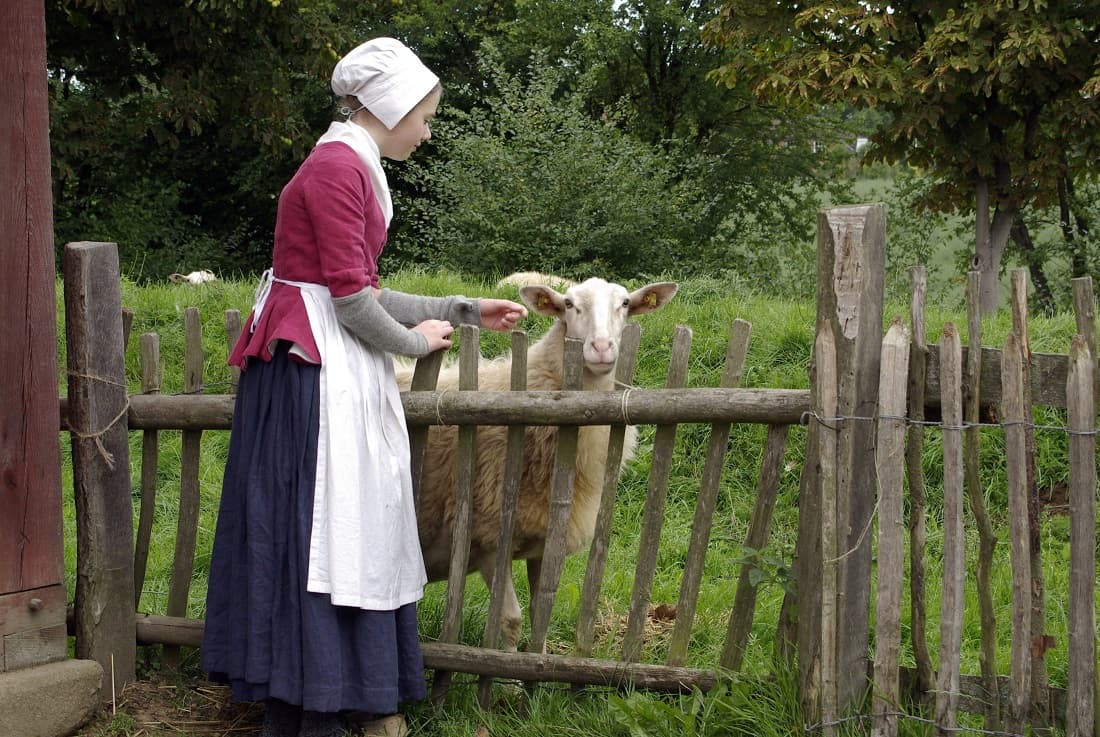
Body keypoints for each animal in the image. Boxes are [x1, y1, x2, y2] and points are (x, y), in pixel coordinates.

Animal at [391, 277, 673, 651]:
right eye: (568, 304)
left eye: (625, 303)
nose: (601, 347)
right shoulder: (488, 540)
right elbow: (510, 620)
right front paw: (506, 667)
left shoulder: (544, 544)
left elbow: (542, 612)